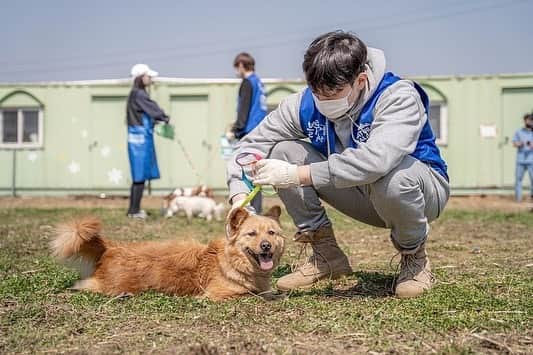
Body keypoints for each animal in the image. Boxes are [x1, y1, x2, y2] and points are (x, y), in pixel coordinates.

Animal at [53, 207, 284, 302]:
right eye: (251, 234)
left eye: (271, 233)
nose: (266, 246)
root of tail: (111, 247)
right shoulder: (215, 294)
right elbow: (252, 293)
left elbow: (268, 292)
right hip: (107, 285)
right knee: (81, 285)